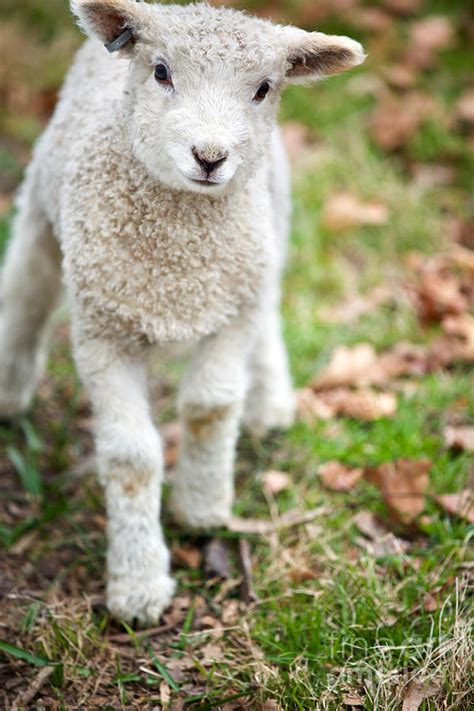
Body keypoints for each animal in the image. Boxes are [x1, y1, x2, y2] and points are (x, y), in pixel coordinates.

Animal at [0, 0, 366, 624]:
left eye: (264, 88)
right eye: (161, 72)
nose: (210, 157)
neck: (178, 264)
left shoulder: (232, 312)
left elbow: (209, 407)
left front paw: (202, 507)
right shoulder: (103, 332)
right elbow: (132, 458)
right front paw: (138, 585)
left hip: (267, 234)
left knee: (270, 304)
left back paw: (270, 404)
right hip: (44, 214)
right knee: (26, 290)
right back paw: (7, 390)